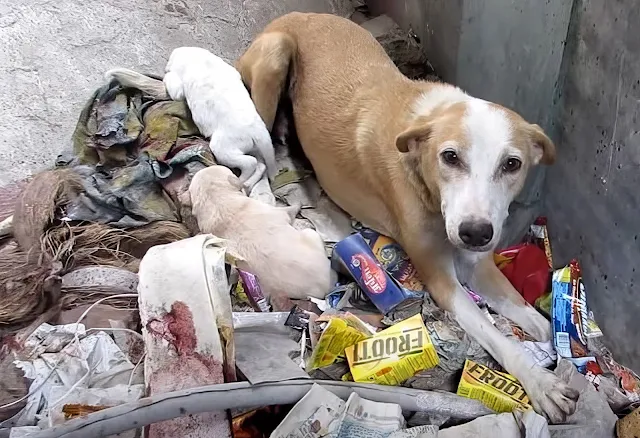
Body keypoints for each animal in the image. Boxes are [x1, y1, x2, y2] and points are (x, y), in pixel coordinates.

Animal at [105, 47, 277, 203]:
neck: (198, 58)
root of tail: (259, 132)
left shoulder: (178, 87)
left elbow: (172, 83)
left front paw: (167, 74)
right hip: (251, 148)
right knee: (260, 165)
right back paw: (247, 184)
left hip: (223, 148)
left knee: (250, 163)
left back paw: (238, 180)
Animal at [186, 165, 334, 301]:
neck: (215, 199)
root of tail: (326, 288)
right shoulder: (280, 212)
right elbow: (290, 209)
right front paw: (298, 205)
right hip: (311, 234)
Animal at [237, 12, 578, 422]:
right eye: (450, 157)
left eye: (512, 164)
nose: (475, 233)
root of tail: (295, 14)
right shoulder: (443, 281)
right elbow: (498, 337)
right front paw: (541, 383)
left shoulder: (478, 263)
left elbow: (529, 316)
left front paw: (561, 347)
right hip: (274, 57)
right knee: (258, 148)